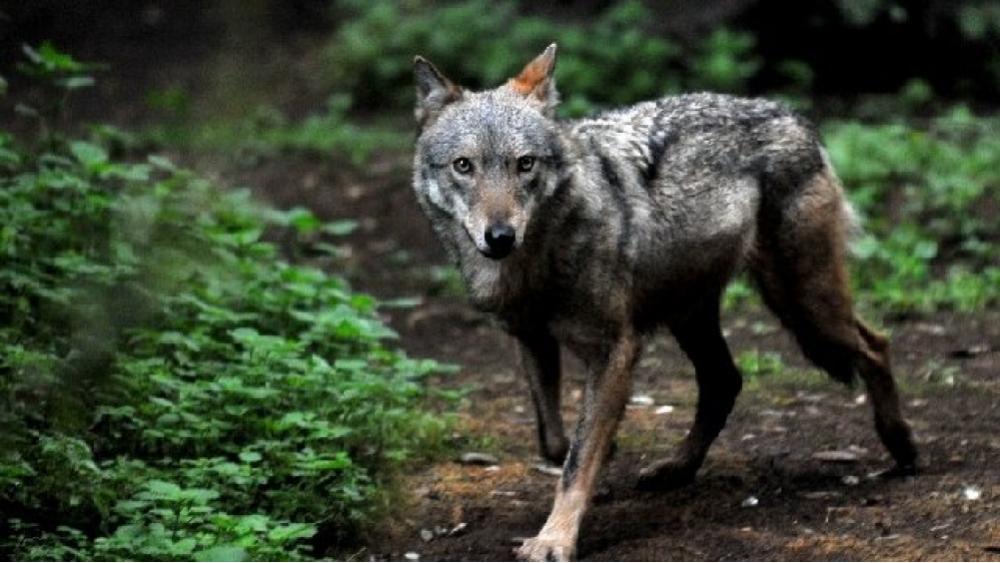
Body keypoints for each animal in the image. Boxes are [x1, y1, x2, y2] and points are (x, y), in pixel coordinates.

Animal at [411, 44, 917, 561]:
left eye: (524, 164)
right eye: (464, 166)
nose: (499, 237)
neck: (535, 265)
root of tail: (791, 114)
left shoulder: (615, 351)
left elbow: (577, 458)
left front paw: (555, 538)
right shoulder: (530, 339)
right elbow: (555, 442)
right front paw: (601, 466)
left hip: (802, 306)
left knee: (876, 344)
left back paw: (902, 447)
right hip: (695, 316)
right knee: (725, 381)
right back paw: (676, 468)